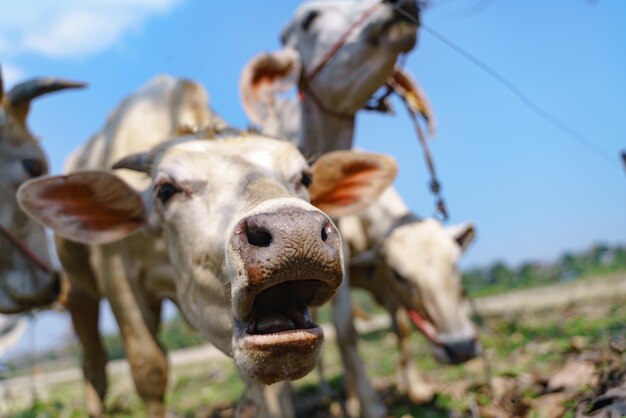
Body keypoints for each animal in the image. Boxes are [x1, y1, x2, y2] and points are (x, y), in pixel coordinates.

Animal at [18, 73, 394, 416]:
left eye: (304, 178)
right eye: (165, 190)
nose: (295, 231)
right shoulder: (119, 279)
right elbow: (150, 370)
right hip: (80, 289)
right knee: (94, 364)